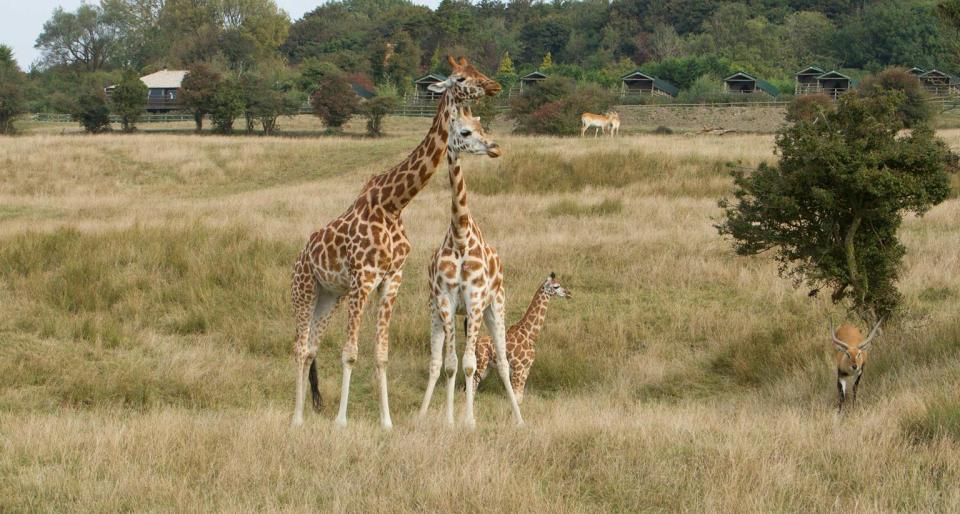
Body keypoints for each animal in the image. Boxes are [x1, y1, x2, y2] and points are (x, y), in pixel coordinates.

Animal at [286, 56, 498, 426]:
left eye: (477, 70)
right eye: (460, 78)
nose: (494, 86)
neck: (394, 203)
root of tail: (299, 258)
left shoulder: (391, 279)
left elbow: (381, 353)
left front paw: (386, 422)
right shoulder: (363, 278)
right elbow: (350, 352)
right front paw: (341, 422)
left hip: (330, 296)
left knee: (311, 346)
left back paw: (308, 410)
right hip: (305, 289)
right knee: (299, 347)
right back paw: (297, 418)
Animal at [418, 106, 524, 426]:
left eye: (482, 127)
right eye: (464, 132)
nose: (495, 147)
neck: (461, 236)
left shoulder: (476, 301)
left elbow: (469, 363)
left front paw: (469, 421)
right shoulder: (446, 301)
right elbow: (450, 364)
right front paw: (450, 420)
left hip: (496, 305)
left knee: (503, 362)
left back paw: (519, 419)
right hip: (437, 311)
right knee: (435, 361)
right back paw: (423, 415)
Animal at [472, 272, 568, 404]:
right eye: (556, 286)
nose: (567, 293)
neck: (529, 334)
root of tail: (476, 344)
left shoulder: (526, 369)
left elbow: (520, 398)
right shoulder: (517, 368)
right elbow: (516, 398)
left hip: (487, 366)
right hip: (481, 362)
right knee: (472, 384)